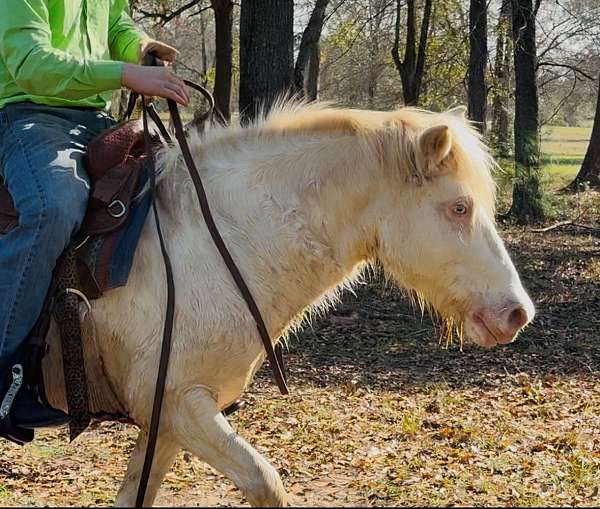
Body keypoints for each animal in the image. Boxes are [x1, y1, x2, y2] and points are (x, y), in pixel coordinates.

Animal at [45, 100, 536, 504]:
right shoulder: (180, 403)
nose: (518, 313)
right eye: (459, 207)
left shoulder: (167, 419)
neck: (210, 247)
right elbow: (265, 482)